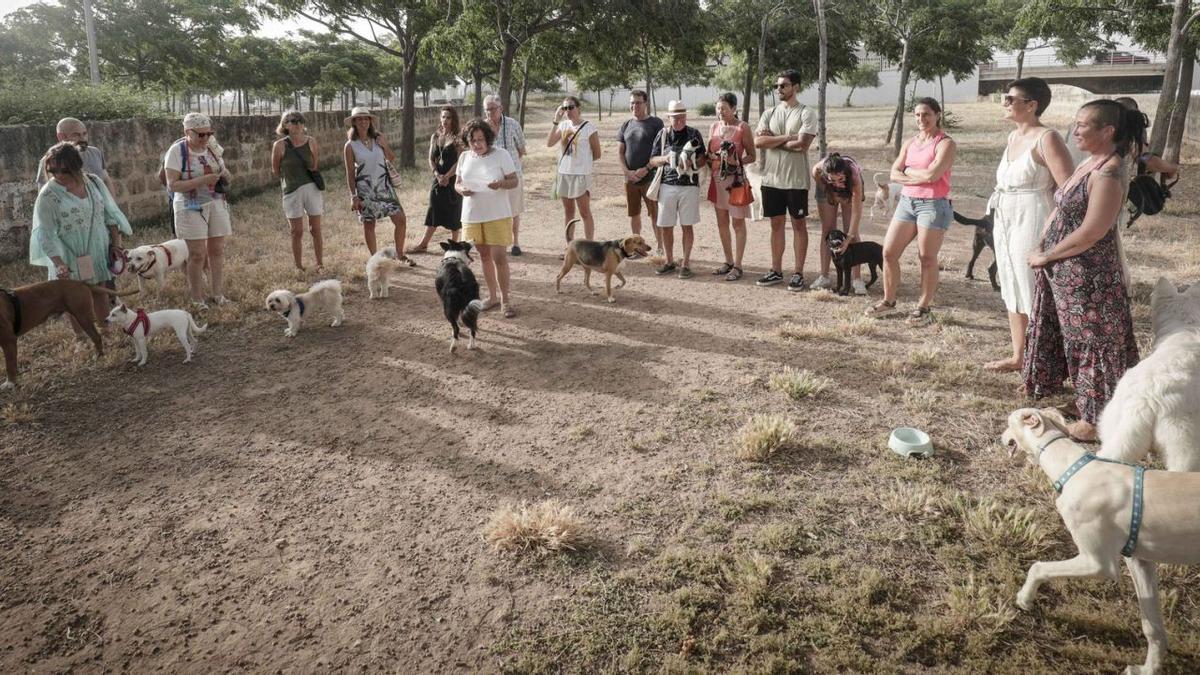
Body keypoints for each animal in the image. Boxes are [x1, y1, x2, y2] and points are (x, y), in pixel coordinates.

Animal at [0, 277, 137, 384]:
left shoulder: (8, 340)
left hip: (82, 316)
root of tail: (80, 282)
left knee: (96, 336)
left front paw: (10, 383)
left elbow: (9, 365)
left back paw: (98, 355)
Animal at [1003, 403, 1200, 672]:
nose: (1001, 438)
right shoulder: (1140, 562)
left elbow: (1038, 567)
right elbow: (1152, 627)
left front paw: (1024, 599)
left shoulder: (1098, 563)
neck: (1074, 469)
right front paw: (1147, 669)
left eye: (1008, 422)